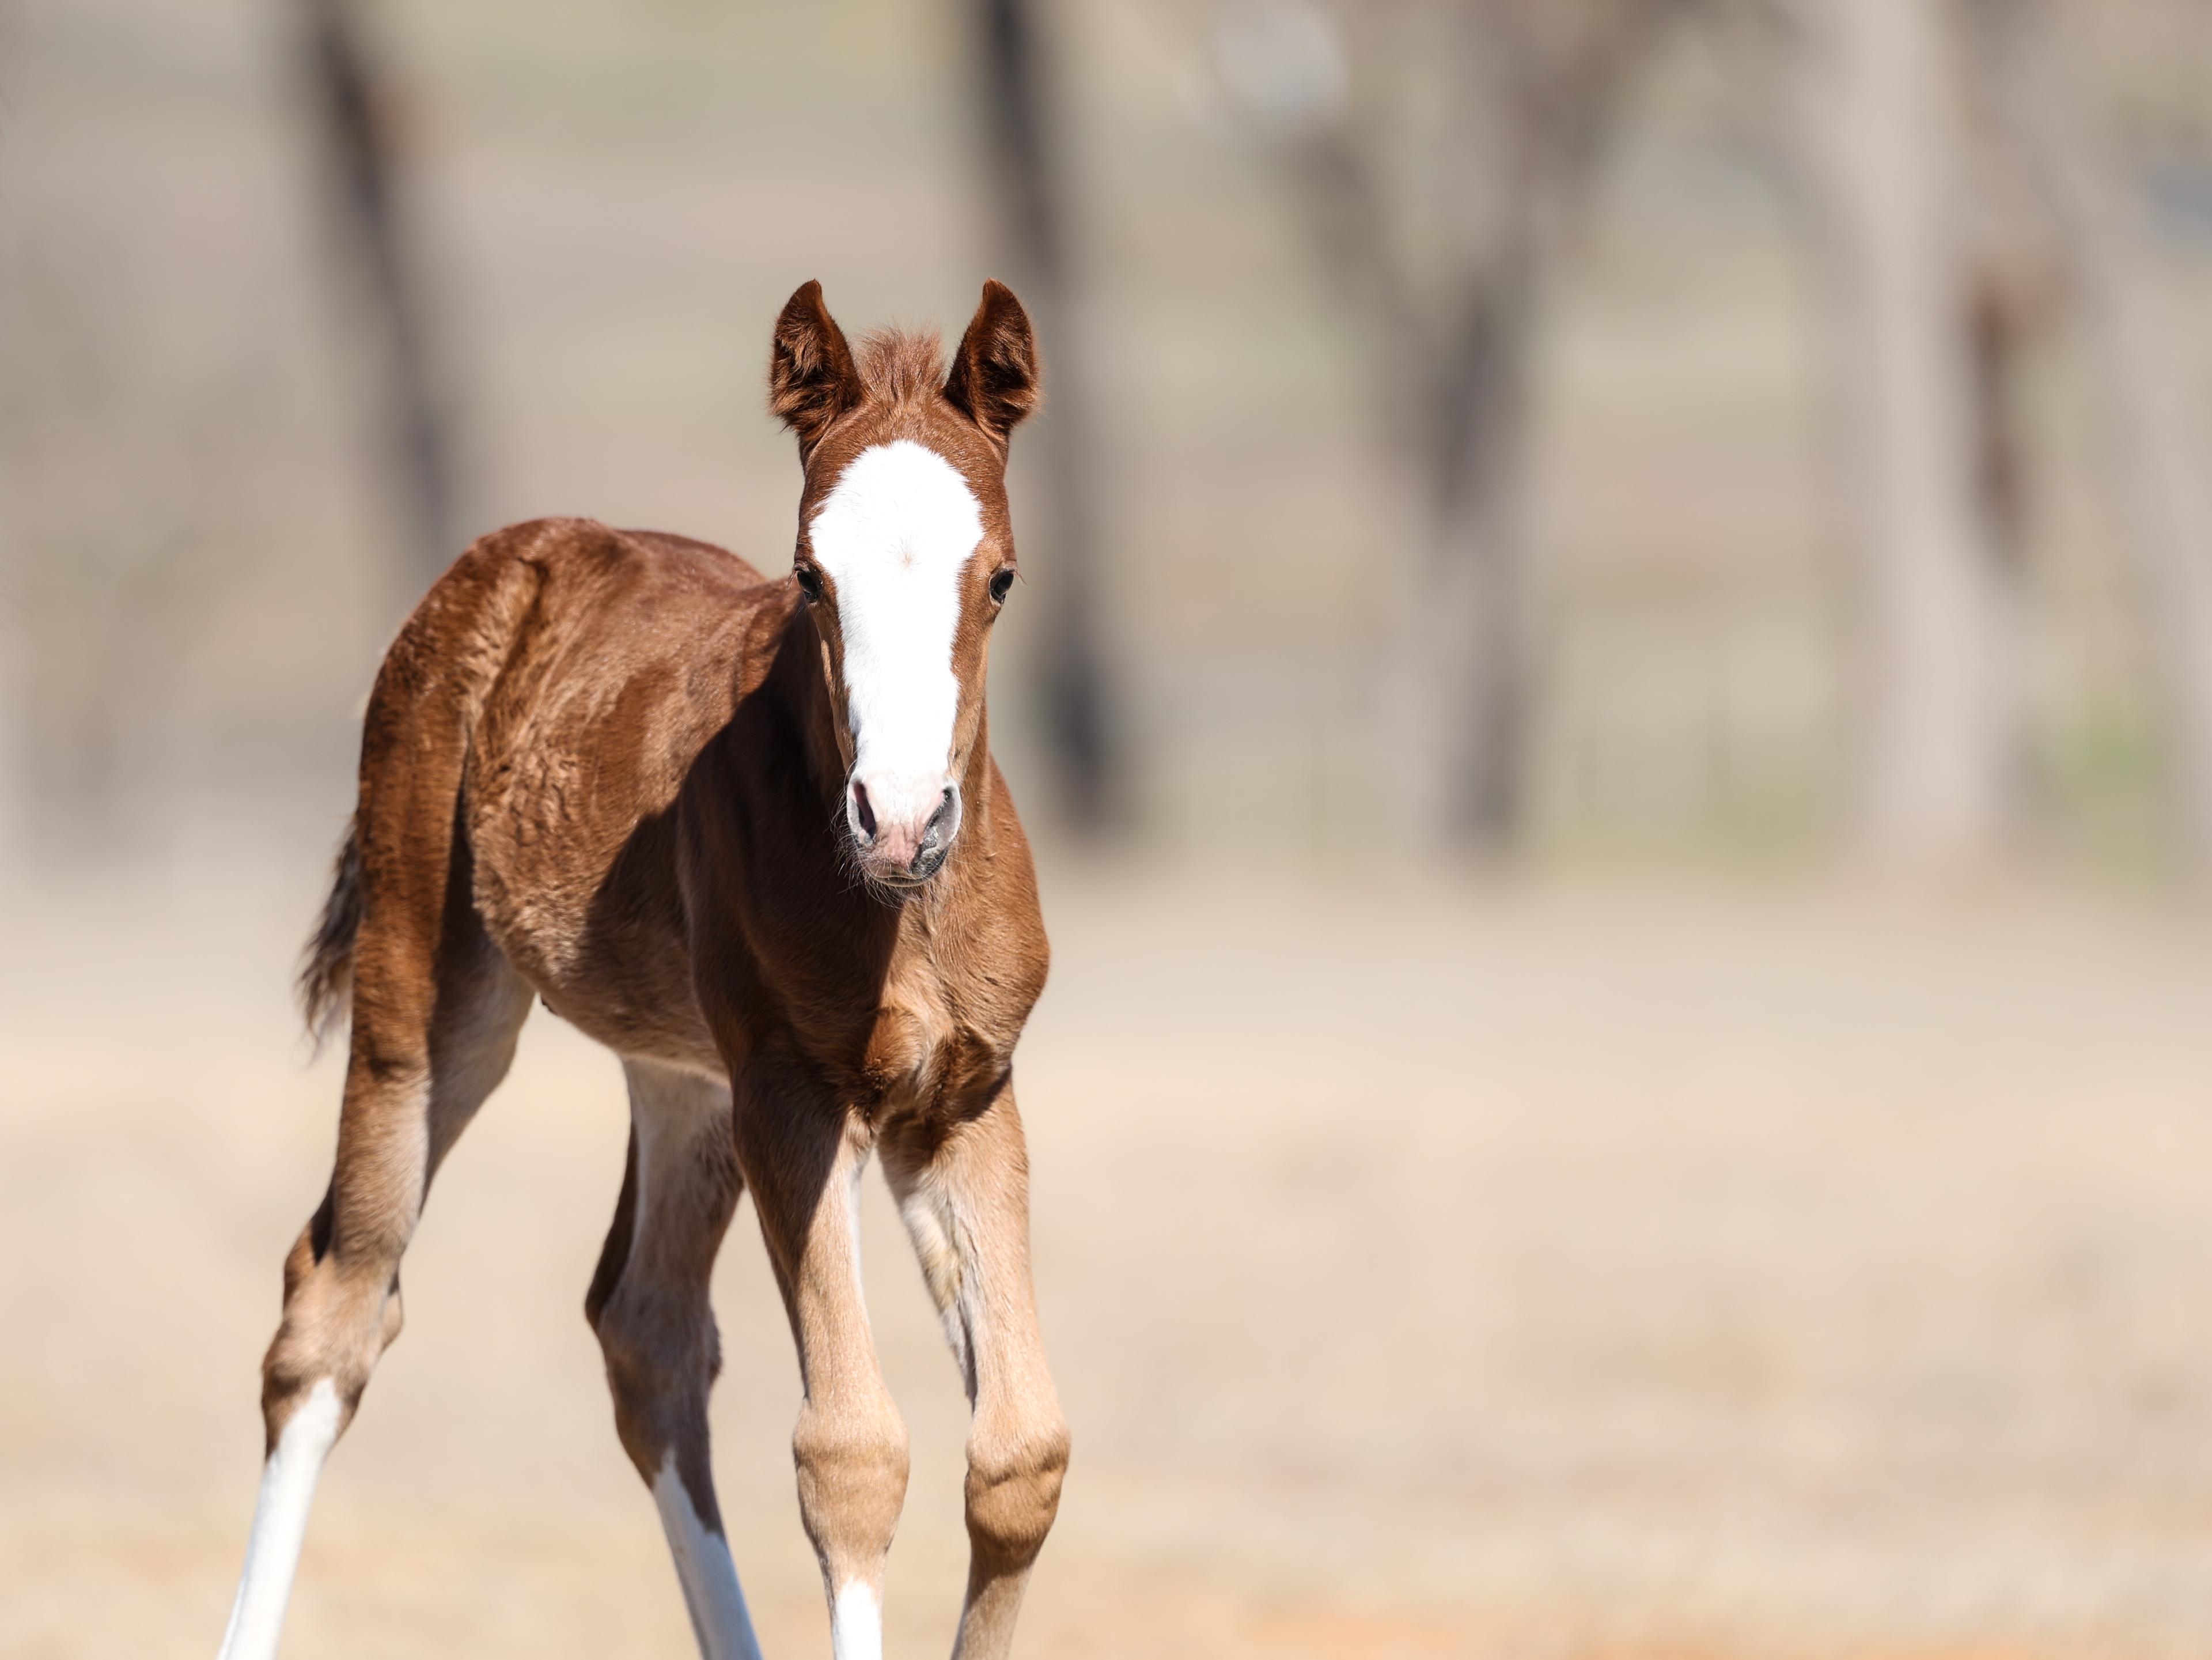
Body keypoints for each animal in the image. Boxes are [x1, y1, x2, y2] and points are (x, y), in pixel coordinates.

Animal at [215, 280, 1069, 1660]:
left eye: (998, 577)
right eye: (809, 577)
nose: (899, 818)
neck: (898, 907)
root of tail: (508, 555)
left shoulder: (962, 1096)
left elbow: (1019, 1459)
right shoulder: (794, 1093)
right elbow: (851, 1453)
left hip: (685, 1081)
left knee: (647, 1328)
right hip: (433, 1000)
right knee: (332, 1308)